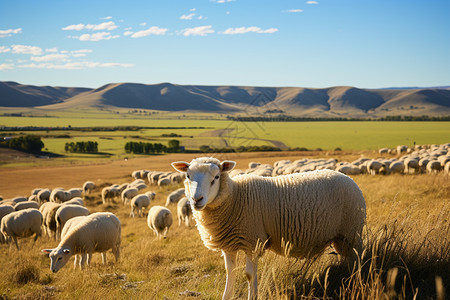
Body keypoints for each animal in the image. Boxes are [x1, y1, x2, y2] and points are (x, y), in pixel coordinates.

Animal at [171, 157, 366, 300]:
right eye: (188, 176)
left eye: (216, 177)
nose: (197, 200)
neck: (235, 198)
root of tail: (348, 178)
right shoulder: (229, 245)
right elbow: (229, 273)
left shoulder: (252, 241)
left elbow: (249, 275)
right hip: (342, 238)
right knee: (347, 259)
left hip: (352, 232)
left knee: (357, 261)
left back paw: (355, 282)